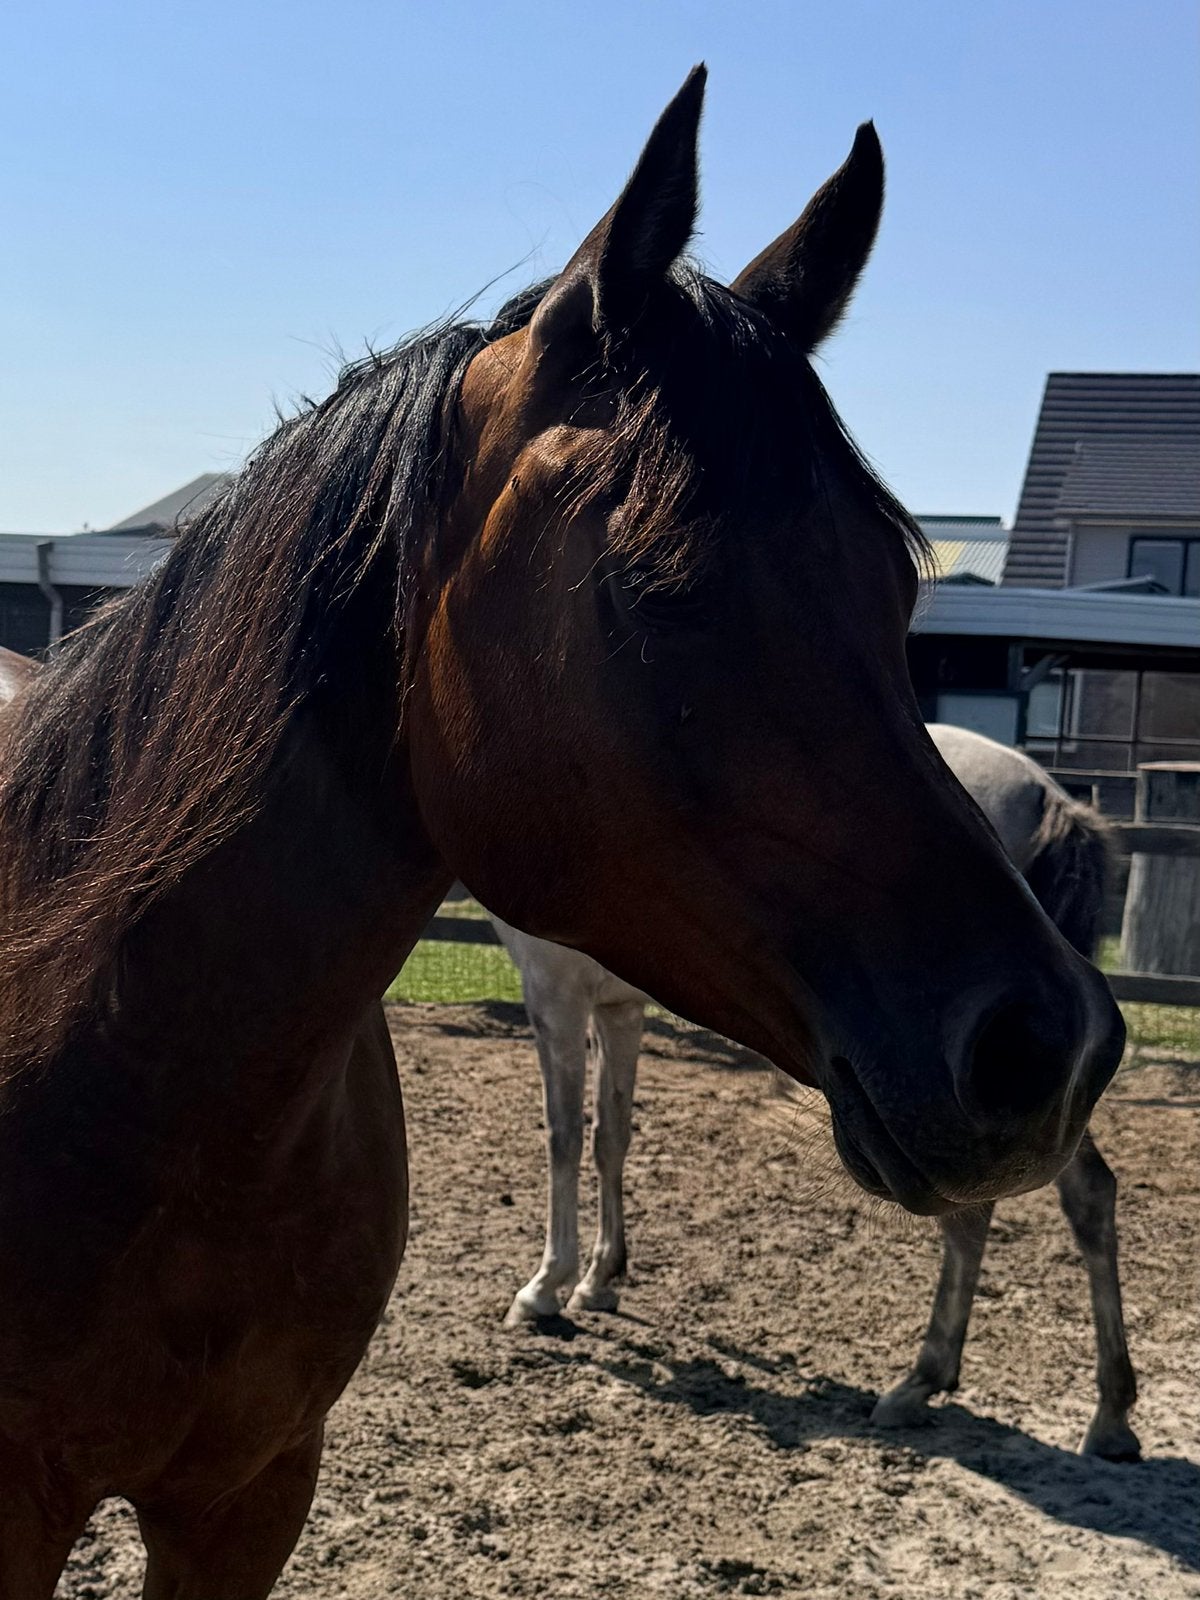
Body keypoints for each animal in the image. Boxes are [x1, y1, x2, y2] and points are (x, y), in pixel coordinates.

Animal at [494, 724, 1140, 1460]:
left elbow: (565, 1139)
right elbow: (611, 1139)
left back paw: (921, 1380)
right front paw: (601, 1279)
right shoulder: (618, 1010)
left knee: (980, 1214)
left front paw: (545, 1287)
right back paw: (1109, 1413)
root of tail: (1048, 794)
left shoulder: (556, 995)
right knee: (1088, 1195)